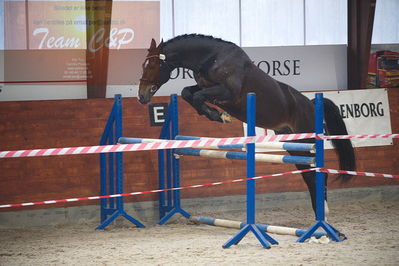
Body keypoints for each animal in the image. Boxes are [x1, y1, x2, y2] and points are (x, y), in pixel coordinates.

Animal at [138, 33, 356, 216]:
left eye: (152, 66)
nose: (142, 96)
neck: (212, 58)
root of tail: (311, 104)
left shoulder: (227, 93)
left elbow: (198, 96)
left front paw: (220, 116)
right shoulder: (204, 87)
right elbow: (187, 93)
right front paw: (216, 115)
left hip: (307, 140)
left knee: (318, 173)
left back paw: (323, 212)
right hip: (294, 144)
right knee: (309, 174)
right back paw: (318, 211)